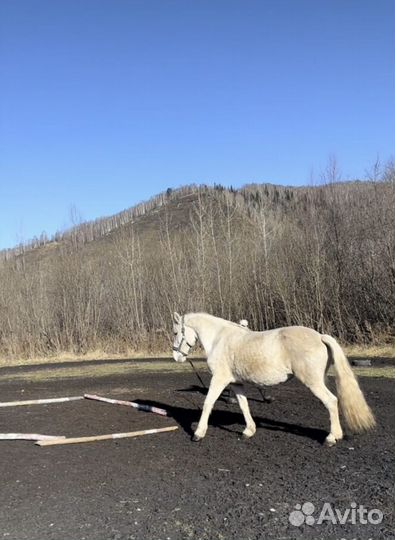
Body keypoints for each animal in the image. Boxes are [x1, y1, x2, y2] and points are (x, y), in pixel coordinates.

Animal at [173, 310, 378, 446]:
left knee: (331, 401)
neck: (220, 339)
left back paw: (331, 438)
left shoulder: (219, 379)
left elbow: (208, 403)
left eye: (176, 332)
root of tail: (320, 336)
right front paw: (249, 431)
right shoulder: (237, 383)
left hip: (313, 382)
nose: (176, 357)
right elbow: (244, 406)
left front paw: (198, 433)